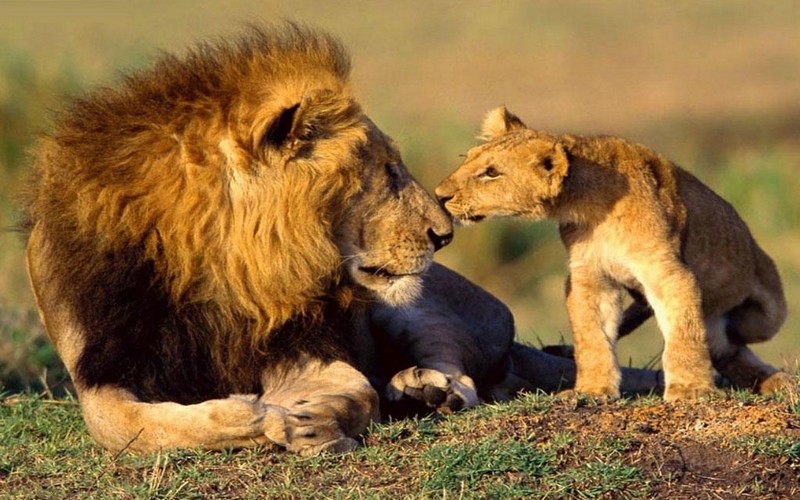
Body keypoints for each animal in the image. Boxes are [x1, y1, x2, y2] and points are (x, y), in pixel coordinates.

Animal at [20, 26, 662, 455]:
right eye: (388, 173)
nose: (444, 235)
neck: (218, 269)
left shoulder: (304, 342)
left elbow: (354, 389)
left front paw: (318, 418)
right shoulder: (99, 366)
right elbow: (121, 425)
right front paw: (247, 417)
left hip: (416, 304)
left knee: (465, 372)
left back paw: (423, 390)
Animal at [435, 106, 793, 401]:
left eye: (491, 173)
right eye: (466, 158)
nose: (440, 195)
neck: (591, 207)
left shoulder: (668, 272)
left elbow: (684, 334)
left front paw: (690, 389)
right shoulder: (589, 278)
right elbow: (592, 337)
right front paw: (593, 390)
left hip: (765, 314)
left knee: (733, 340)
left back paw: (778, 380)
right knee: (724, 350)